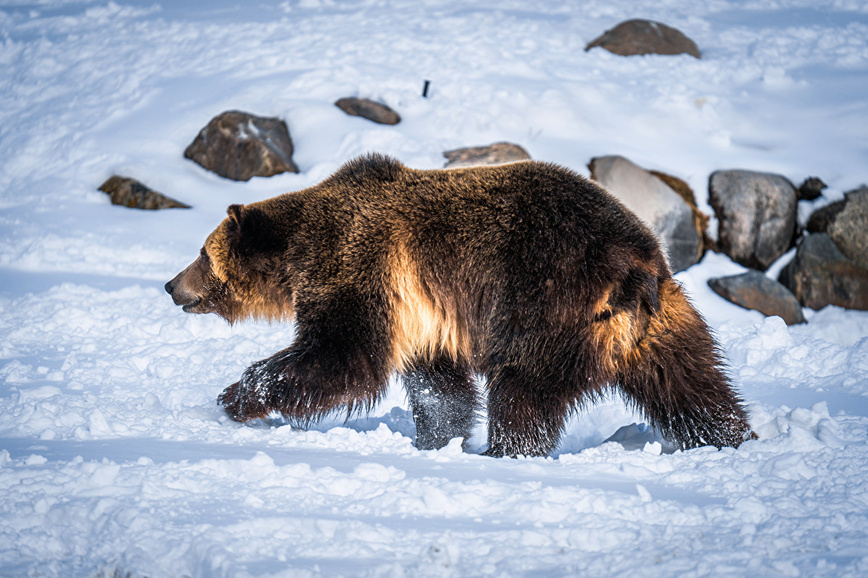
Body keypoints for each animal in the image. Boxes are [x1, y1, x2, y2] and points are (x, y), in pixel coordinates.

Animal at [168, 154, 752, 454]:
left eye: (201, 252)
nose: (172, 285)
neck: (300, 252)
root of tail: (634, 268)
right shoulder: (424, 316)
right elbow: (439, 389)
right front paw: (435, 438)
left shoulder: (359, 266)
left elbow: (342, 355)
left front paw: (236, 395)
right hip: (664, 322)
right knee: (694, 385)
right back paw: (731, 437)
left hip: (544, 307)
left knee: (522, 394)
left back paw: (506, 451)